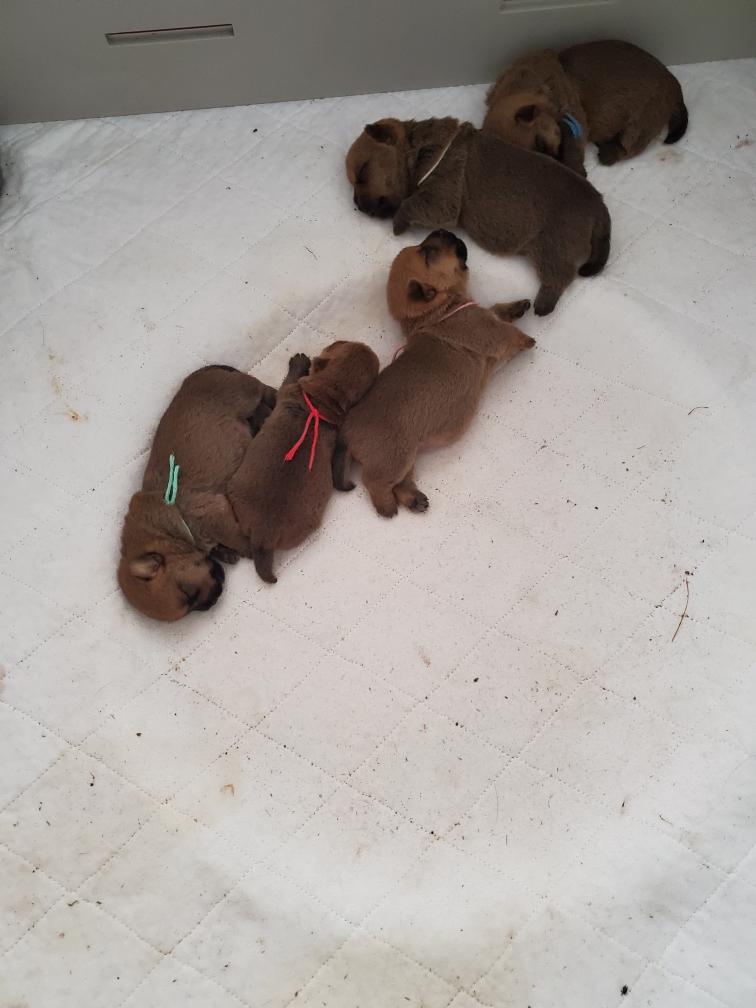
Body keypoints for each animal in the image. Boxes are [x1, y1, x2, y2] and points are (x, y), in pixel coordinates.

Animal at [118, 365, 276, 622]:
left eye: (187, 593)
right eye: (189, 602)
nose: (213, 602)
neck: (166, 530)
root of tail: (203, 371)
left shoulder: (215, 514)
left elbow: (239, 540)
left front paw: (249, 552)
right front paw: (225, 552)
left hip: (245, 395)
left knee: (263, 390)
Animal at [228, 343, 379, 584]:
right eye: (343, 343)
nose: (366, 346)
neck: (323, 397)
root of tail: (263, 535)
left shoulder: (287, 389)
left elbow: (287, 381)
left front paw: (299, 362)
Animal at [339, 230, 534, 517]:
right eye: (429, 252)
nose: (444, 230)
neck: (434, 314)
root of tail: (347, 432)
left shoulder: (484, 314)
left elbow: (498, 310)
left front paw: (517, 307)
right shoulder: (490, 332)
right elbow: (509, 333)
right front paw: (528, 339)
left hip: (407, 456)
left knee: (401, 482)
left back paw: (413, 499)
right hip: (394, 457)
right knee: (375, 483)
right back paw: (386, 506)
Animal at [346, 116, 610, 315]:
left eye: (362, 172)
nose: (358, 206)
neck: (425, 150)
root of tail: (599, 205)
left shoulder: (443, 197)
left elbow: (411, 204)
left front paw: (398, 222)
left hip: (553, 244)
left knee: (561, 274)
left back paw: (543, 304)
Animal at [484, 40, 688, 173]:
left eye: (541, 143)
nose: (556, 166)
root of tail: (675, 85)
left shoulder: (575, 118)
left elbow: (574, 149)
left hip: (644, 118)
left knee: (626, 148)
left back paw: (606, 152)